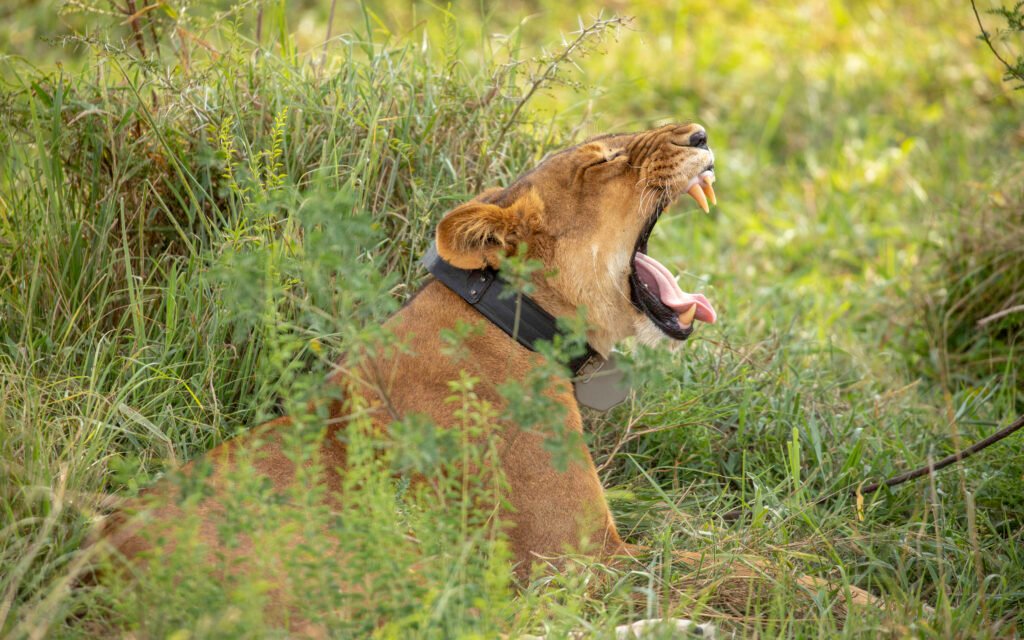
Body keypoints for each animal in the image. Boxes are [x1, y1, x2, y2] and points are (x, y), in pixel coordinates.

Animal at [102, 123, 875, 634]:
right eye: (605, 158)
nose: (700, 131)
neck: (516, 323)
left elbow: (709, 544)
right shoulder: (578, 559)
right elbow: (723, 568)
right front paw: (870, 603)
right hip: (386, 550)